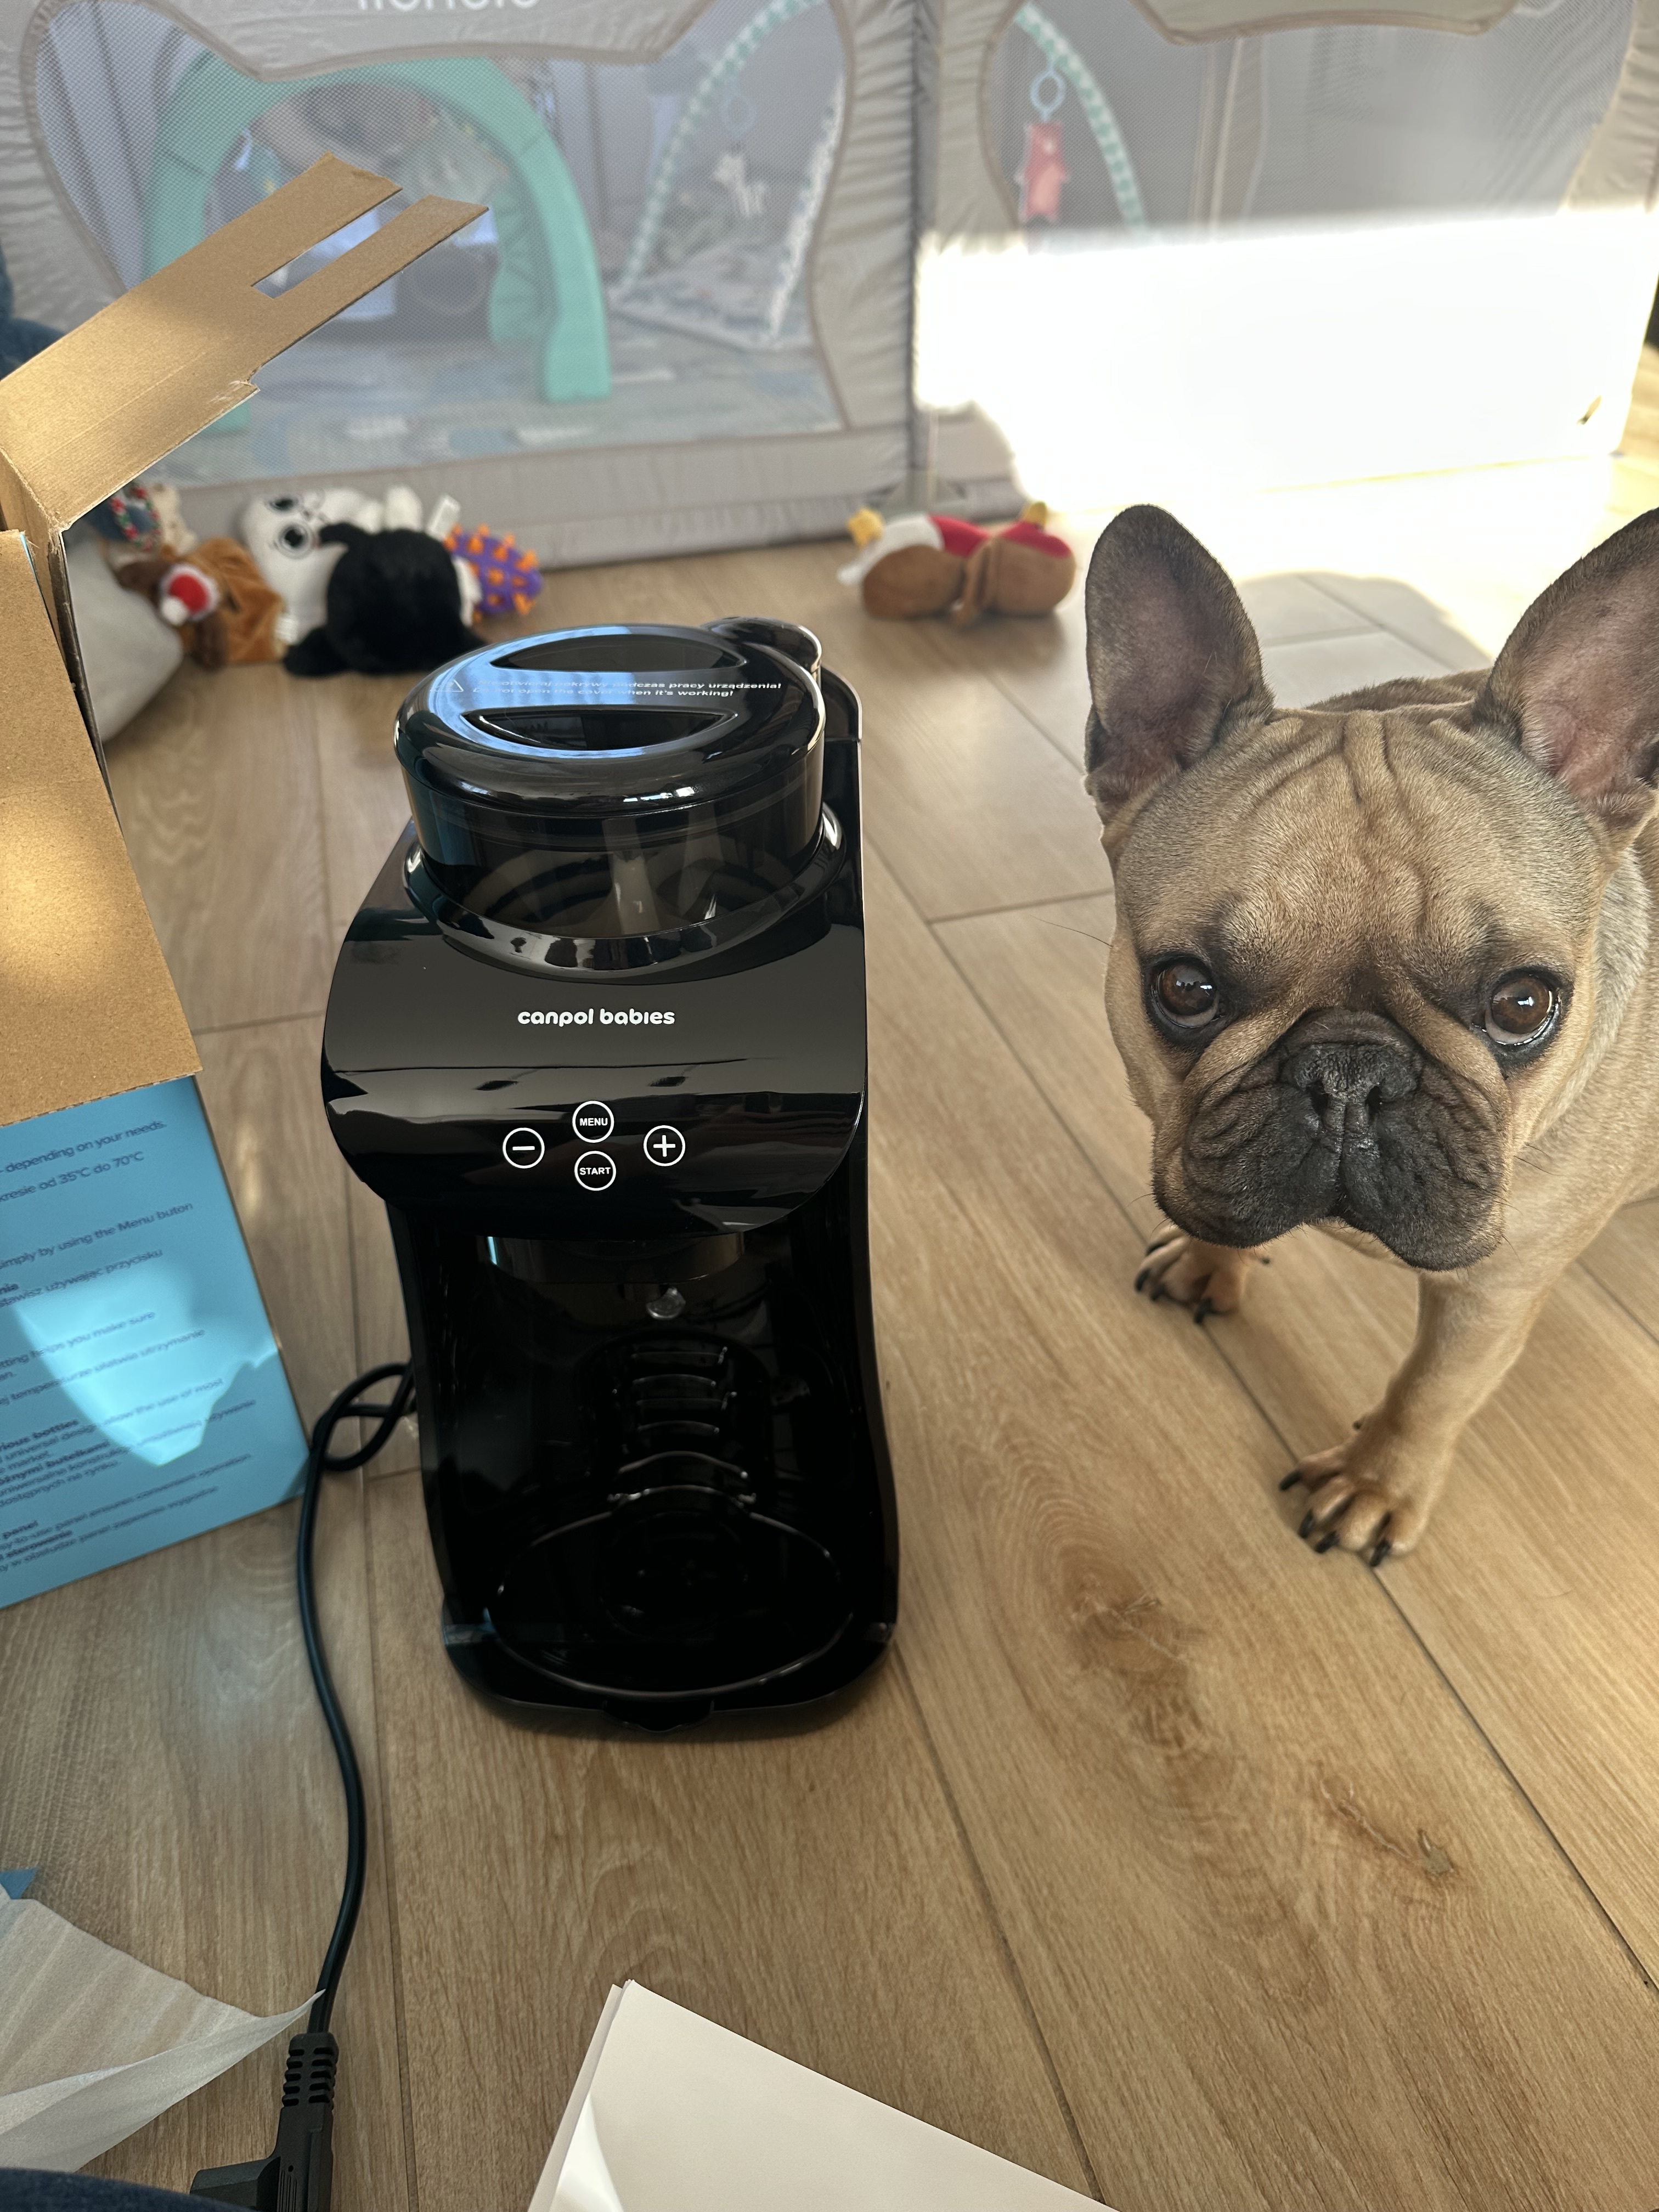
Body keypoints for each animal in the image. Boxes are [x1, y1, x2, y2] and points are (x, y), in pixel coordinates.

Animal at [1082, 504, 1659, 1561]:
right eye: (1183, 987)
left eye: (1523, 1005)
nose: (1348, 1073)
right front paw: (1209, 1262)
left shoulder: (1492, 1292)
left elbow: (1432, 1391)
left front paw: (1374, 1482)